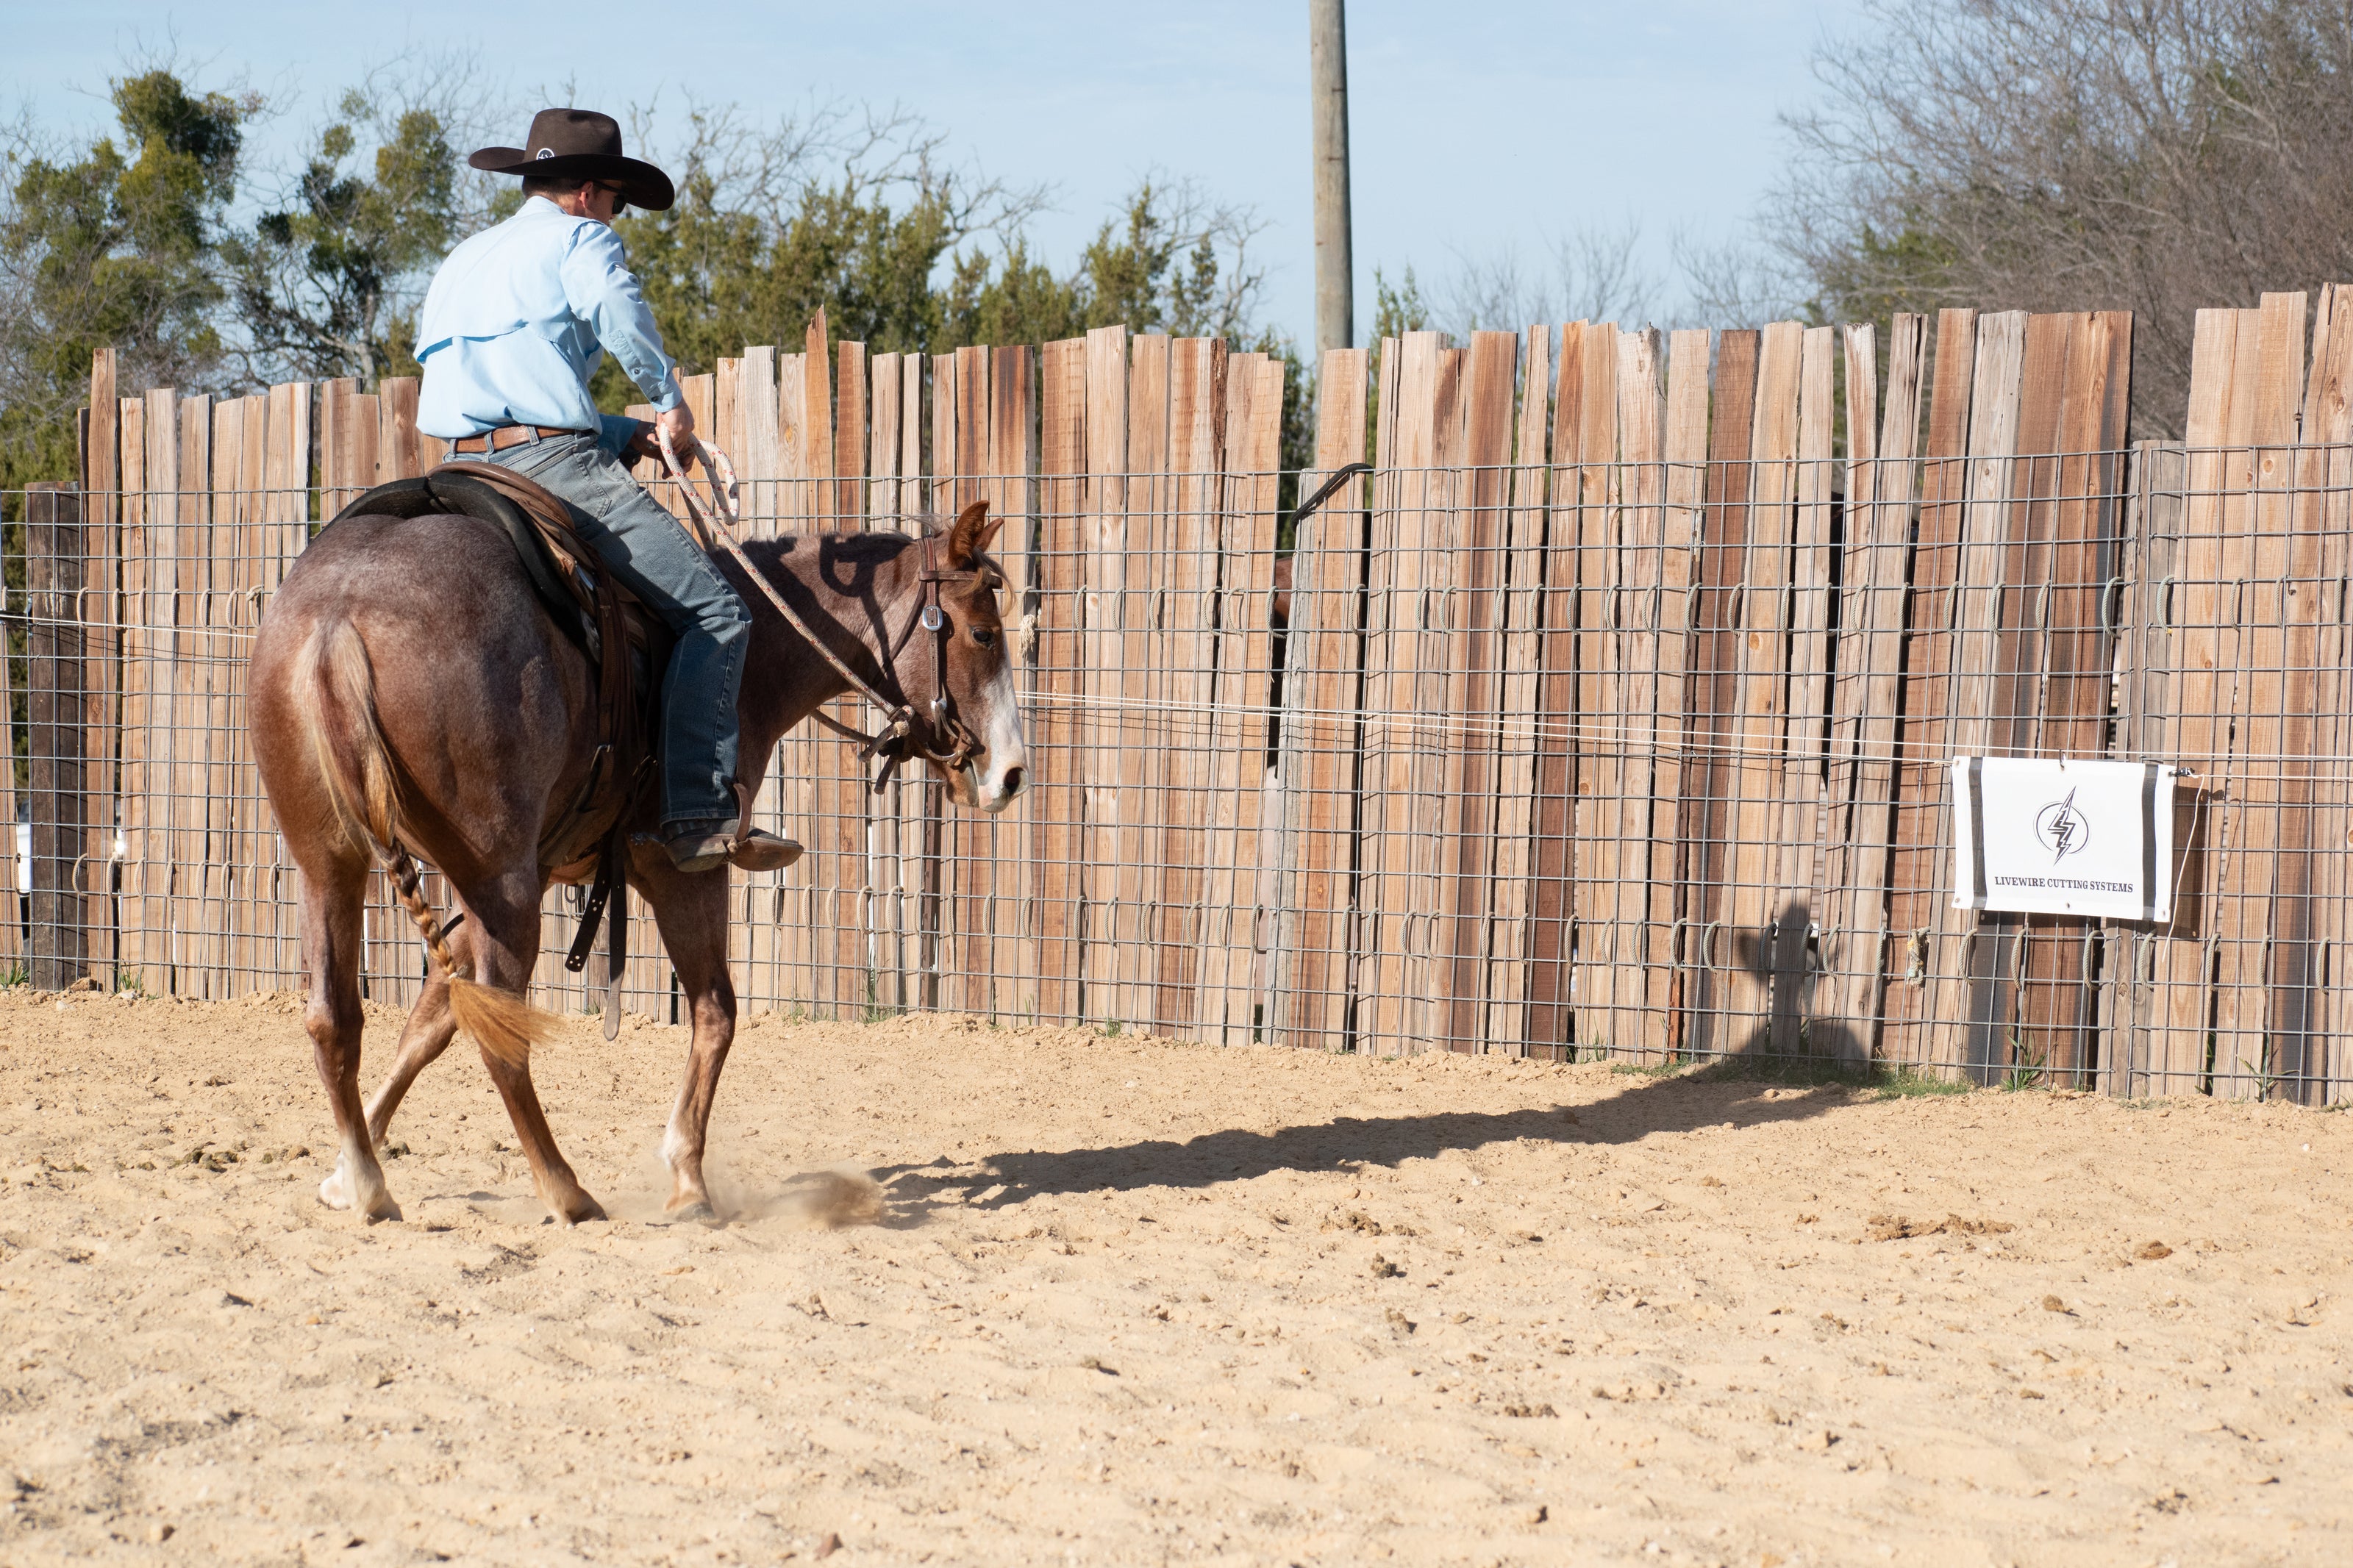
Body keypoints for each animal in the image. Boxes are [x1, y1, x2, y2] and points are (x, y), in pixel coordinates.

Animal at [248, 493, 1027, 1226]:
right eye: (983, 632)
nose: (1013, 774)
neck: (751, 657)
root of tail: (337, 619)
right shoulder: (683, 870)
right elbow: (716, 1012)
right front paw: (687, 1178)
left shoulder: (521, 880)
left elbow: (431, 1017)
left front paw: (345, 1170)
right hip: (501, 882)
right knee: (501, 1034)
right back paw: (566, 1190)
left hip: (332, 864)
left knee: (335, 1016)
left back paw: (371, 1182)